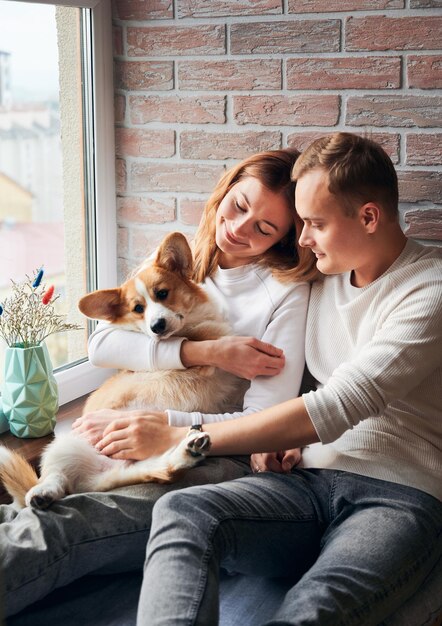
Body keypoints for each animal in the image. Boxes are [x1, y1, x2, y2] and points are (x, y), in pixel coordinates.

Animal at [0, 232, 245, 510]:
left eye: (162, 293)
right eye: (138, 309)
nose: (157, 326)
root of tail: (96, 479)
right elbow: (202, 336)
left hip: (130, 465)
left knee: (156, 470)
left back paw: (186, 452)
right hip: (63, 448)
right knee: (55, 476)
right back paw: (42, 493)